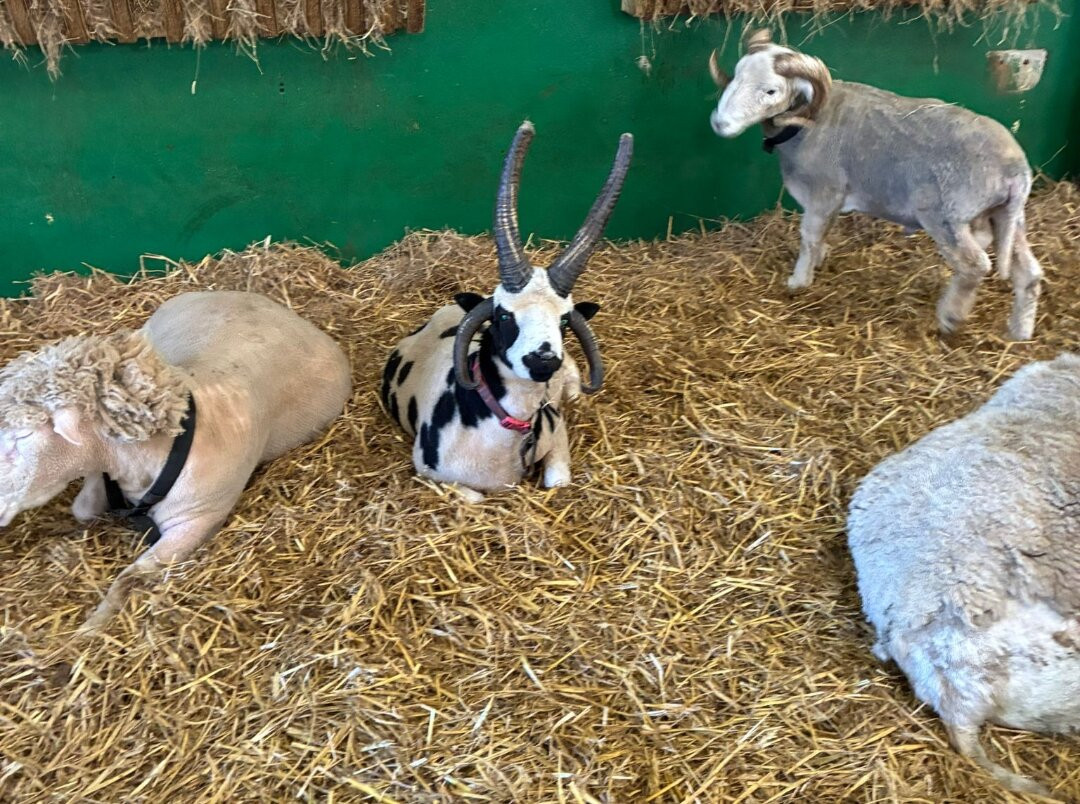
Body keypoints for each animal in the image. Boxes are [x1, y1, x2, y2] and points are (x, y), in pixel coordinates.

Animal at [0, 290, 351, 636]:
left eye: (23, 436)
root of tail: (277, 308)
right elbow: (82, 510)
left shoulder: (194, 522)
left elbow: (129, 576)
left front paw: (90, 628)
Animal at [382, 121, 633, 495]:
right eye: (503, 315)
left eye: (563, 321)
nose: (544, 361)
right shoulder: (431, 474)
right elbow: (474, 497)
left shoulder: (556, 433)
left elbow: (558, 481)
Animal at [708, 29, 1043, 341]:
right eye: (736, 74)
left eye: (770, 90)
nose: (719, 124)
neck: (806, 122)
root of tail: (1015, 169)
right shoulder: (832, 199)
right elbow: (822, 234)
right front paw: (818, 262)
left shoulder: (823, 191)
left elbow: (810, 236)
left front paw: (799, 280)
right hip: (1007, 216)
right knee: (1029, 273)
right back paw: (1020, 331)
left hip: (946, 215)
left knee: (975, 265)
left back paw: (950, 318)